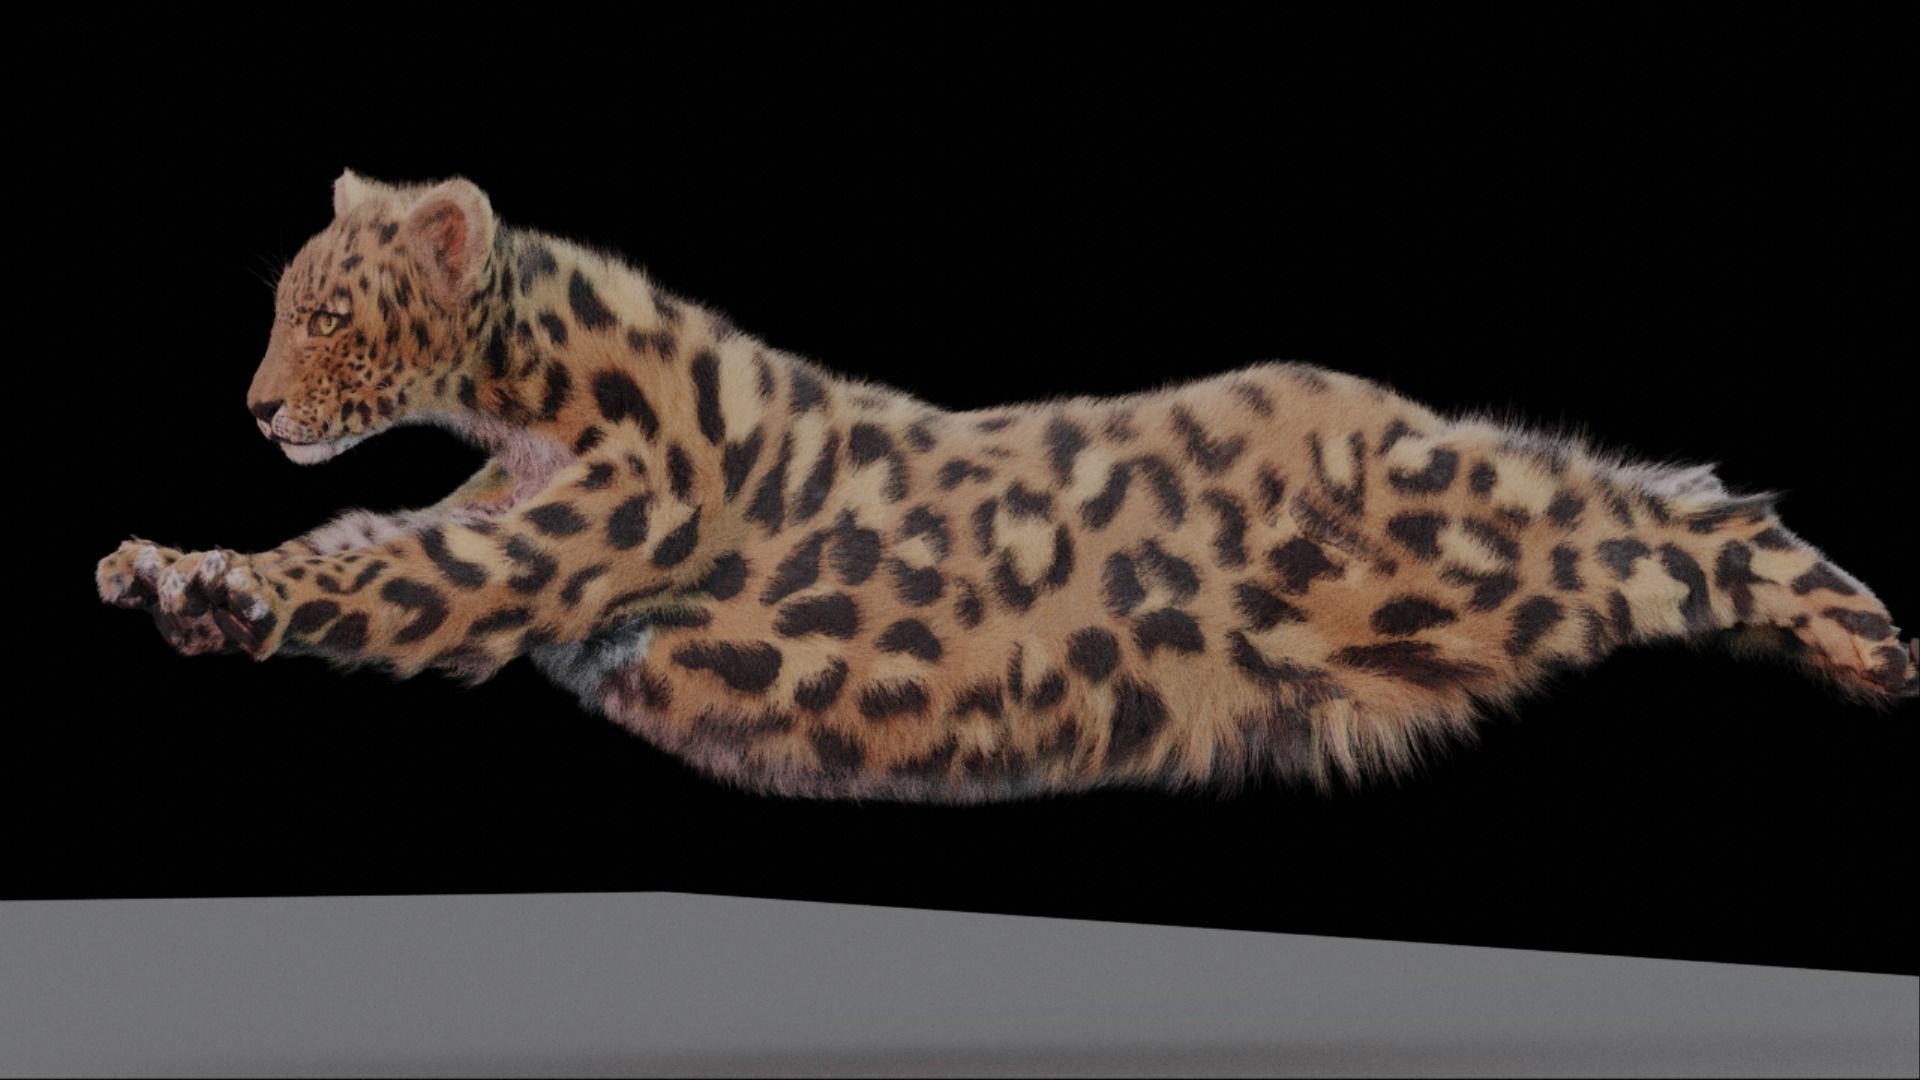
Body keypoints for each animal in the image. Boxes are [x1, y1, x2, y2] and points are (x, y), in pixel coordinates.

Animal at [96, 171, 1917, 802]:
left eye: (329, 312)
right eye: (280, 304)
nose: (257, 409)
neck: (544, 389)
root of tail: (1378, 412)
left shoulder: (543, 556)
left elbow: (369, 573)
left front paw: (204, 580)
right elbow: (365, 543)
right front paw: (175, 571)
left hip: (1469, 539)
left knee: (1671, 515)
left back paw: (1869, 639)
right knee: (1657, 497)